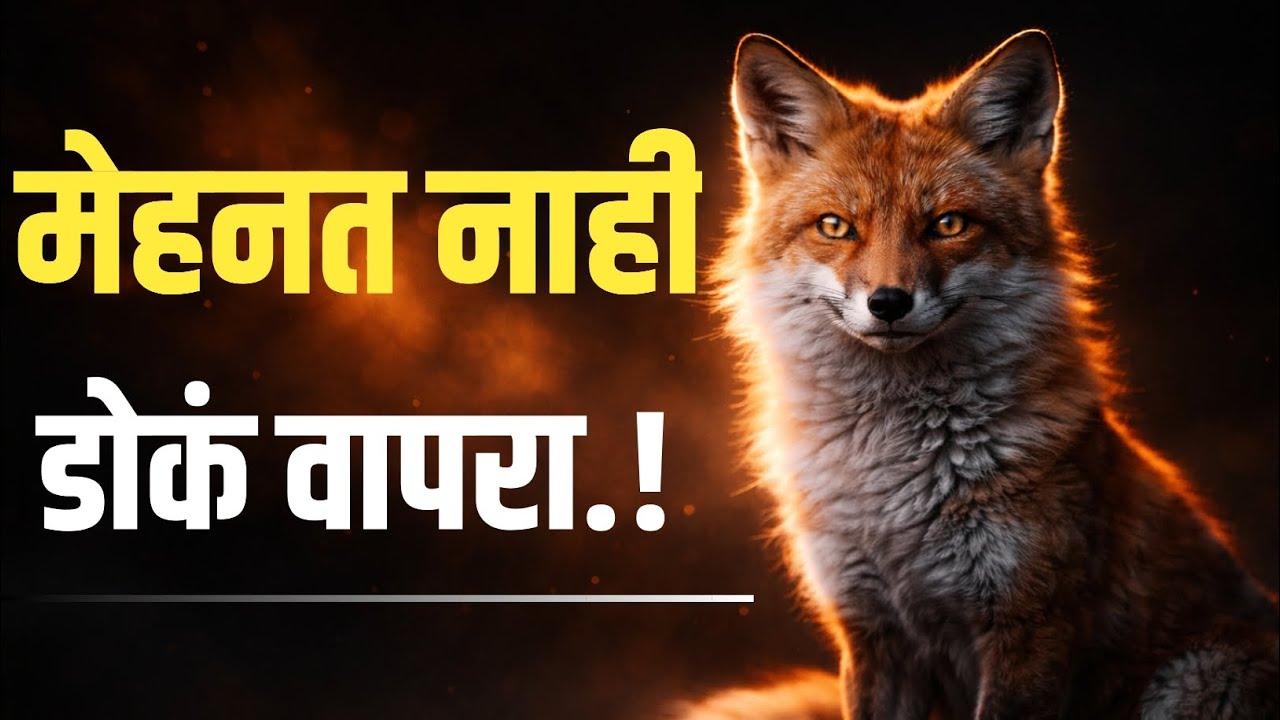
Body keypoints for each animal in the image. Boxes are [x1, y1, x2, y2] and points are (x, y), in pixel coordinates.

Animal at [677, 30, 1280, 720]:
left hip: (1206, 674)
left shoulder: (1028, 627)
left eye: (948, 224)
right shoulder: (873, 631)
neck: (890, 485)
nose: (889, 302)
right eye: (835, 226)